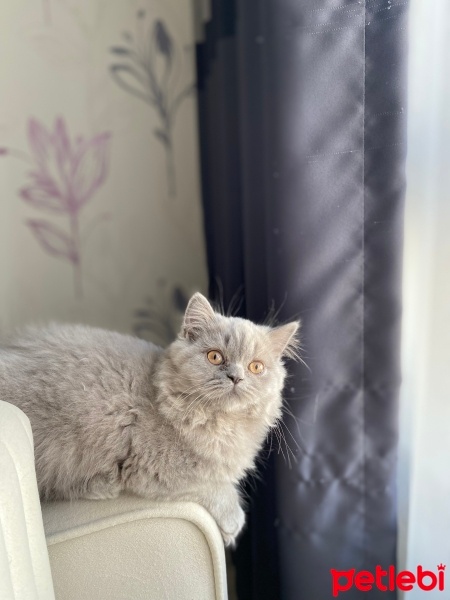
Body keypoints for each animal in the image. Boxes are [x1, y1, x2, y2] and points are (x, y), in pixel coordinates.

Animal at [1, 292, 300, 548]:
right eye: (215, 357)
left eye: (256, 367)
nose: (236, 377)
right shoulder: (162, 470)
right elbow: (214, 485)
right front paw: (233, 520)